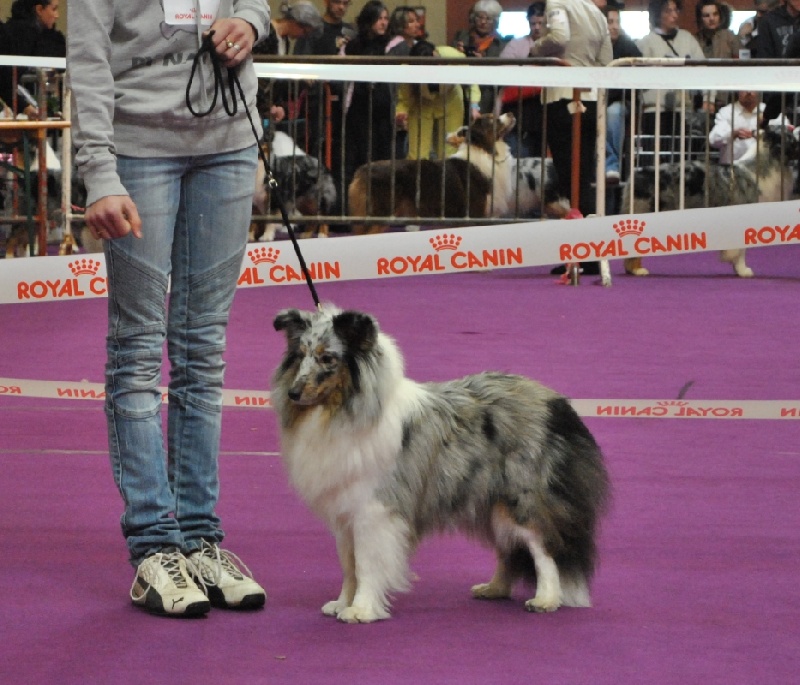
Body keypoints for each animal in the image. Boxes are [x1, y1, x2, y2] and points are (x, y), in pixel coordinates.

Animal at [272, 304, 608, 620]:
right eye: (300, 355)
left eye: (328, 358)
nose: (293, 393)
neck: (339, 411)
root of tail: (557, 403)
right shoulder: (345, 511)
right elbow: (348, 565)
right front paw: (342, 603)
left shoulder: (374, 510)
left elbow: (366, 564)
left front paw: (361, 610)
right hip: (491, 502)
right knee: (509, 548)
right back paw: (495, 588)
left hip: (521, 498)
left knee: (543, 548)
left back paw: (546, 599)